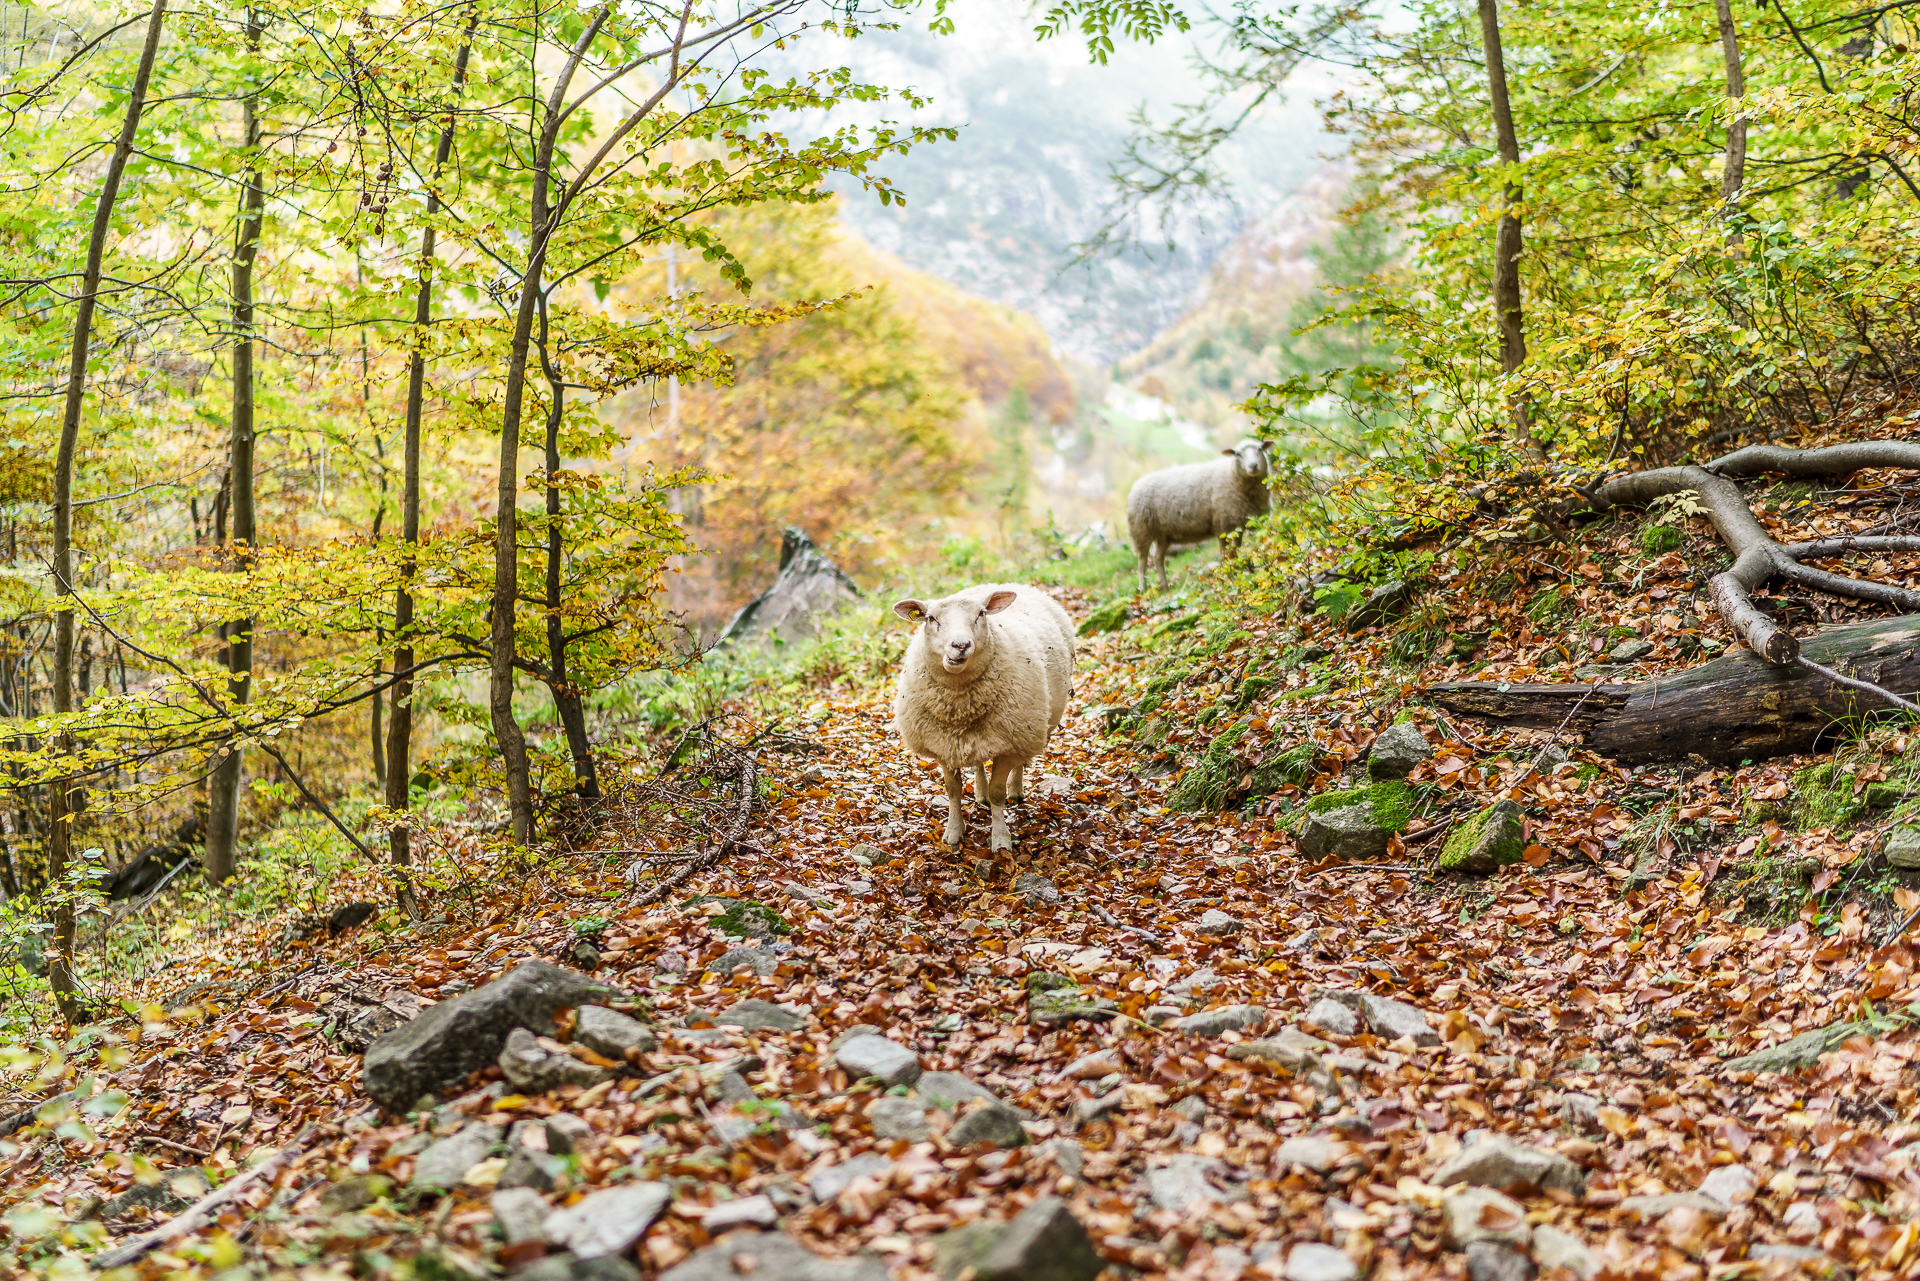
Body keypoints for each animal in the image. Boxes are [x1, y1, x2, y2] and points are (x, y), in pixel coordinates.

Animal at [891, 583, 1074, 852]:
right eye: (931, 618)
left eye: (981, 614)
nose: (960, 645)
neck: (960, 703)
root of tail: (1016, 585)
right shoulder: (943, 746)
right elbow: (953, 791)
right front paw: (953, 832)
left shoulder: (1009, 745)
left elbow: (998, 793)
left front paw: (1000, 839)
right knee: (978, 763)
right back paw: (981, 792)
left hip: (1029, 726)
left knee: (1022, 761)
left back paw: (1015, 790)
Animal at [1126, 438, 1273, 590]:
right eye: (1238, 454)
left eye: (1260, 449)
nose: (1253, 466)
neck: (1232, 475)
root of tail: (1135, 485)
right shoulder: (1222, 526)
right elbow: (1225, 553)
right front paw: (1227, 574)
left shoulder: (1238, 526)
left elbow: (1237, 551)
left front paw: (1242, 570)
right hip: (1141, 529)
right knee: (1142, 561)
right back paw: (1143, 588)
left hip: (1164, 535)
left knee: (1157, 558)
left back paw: (1165, 586)